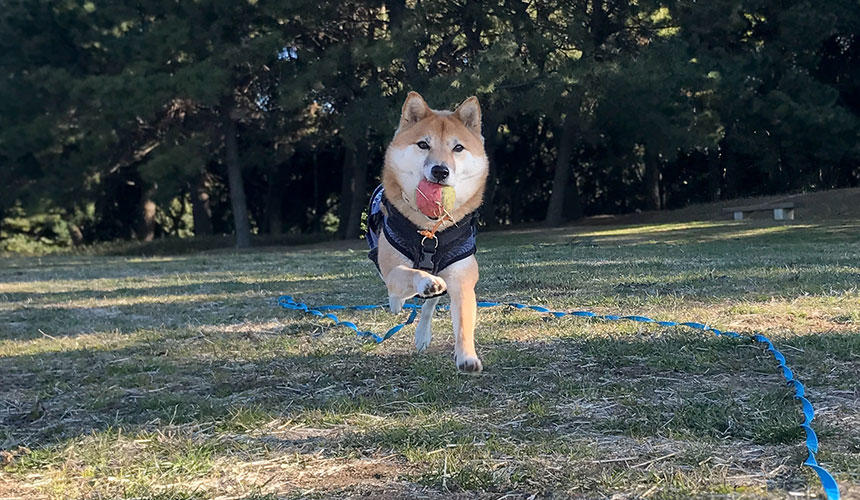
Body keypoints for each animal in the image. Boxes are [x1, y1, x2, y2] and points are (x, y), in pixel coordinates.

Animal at [366, 91, 490, 372]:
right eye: (423, 144)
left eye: (458, 148)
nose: (440, 170)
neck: (432, 231)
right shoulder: (393, 268)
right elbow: (407, 274)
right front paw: (425, 281)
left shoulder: (462, 277)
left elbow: (463, 320)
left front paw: (467, 356)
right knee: (396, 293)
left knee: (429, 305)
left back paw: (423, 333)